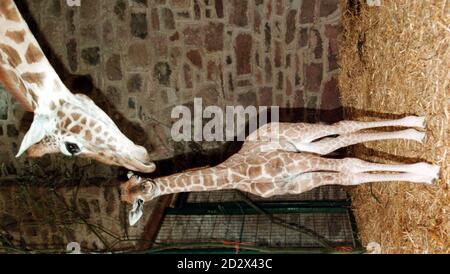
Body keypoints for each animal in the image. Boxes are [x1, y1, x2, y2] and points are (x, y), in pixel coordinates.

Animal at [120, 115, 440, 225]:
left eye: (142, 189)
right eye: (130, 198)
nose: (146, 189)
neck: (237, 175)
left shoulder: (300, 164)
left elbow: (352, 165)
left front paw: (426, 172)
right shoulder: (300, 181)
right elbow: (351, 174)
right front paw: (425, 172)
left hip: (302, 138)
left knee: (342, 126)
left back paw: (417, 128)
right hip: (306, 147)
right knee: (341, 137)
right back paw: (416, 129)